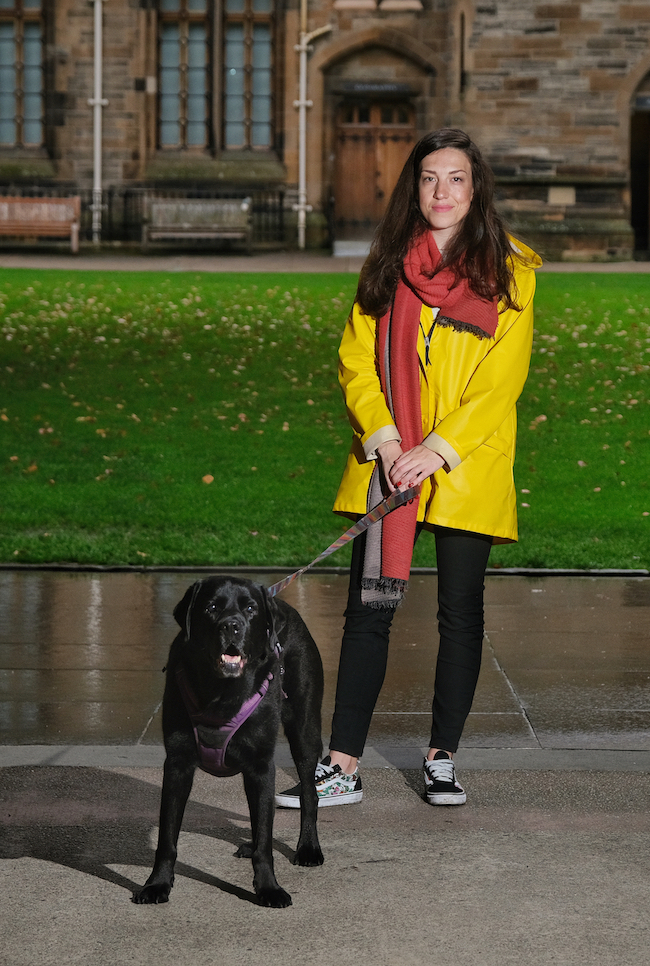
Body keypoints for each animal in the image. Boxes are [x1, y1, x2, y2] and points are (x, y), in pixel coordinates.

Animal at [132, 580, 324, 912]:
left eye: (250, 608)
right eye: (211, 607)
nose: (231, 626)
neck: (221, 693)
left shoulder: (262, 766)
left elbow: (265, 839)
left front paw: (269, 888)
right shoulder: (178, 764)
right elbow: (167, 837)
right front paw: (157, 884)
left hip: (305, 727)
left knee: (309, 793)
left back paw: (308, 848)